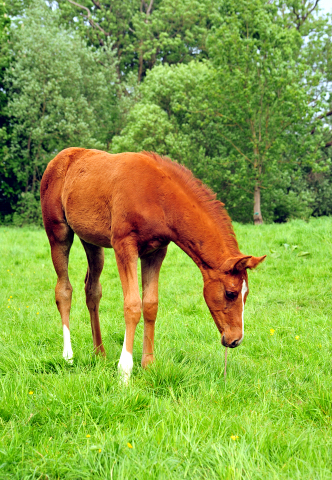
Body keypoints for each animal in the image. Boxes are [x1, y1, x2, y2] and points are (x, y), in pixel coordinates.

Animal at [40, 148, 266, 380]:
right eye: (231, 293)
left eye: (246, 294)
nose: (235, 339)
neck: (159, 198)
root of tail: (60, 157)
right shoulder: (124, 246)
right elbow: (132, 305)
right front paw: (125, 371)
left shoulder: (155, 252)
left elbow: (150, 305)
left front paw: (148, 364)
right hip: (58, 233)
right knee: (63, 290)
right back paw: (68, 356)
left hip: (92, 242)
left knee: (92, 290)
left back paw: (99, 354)